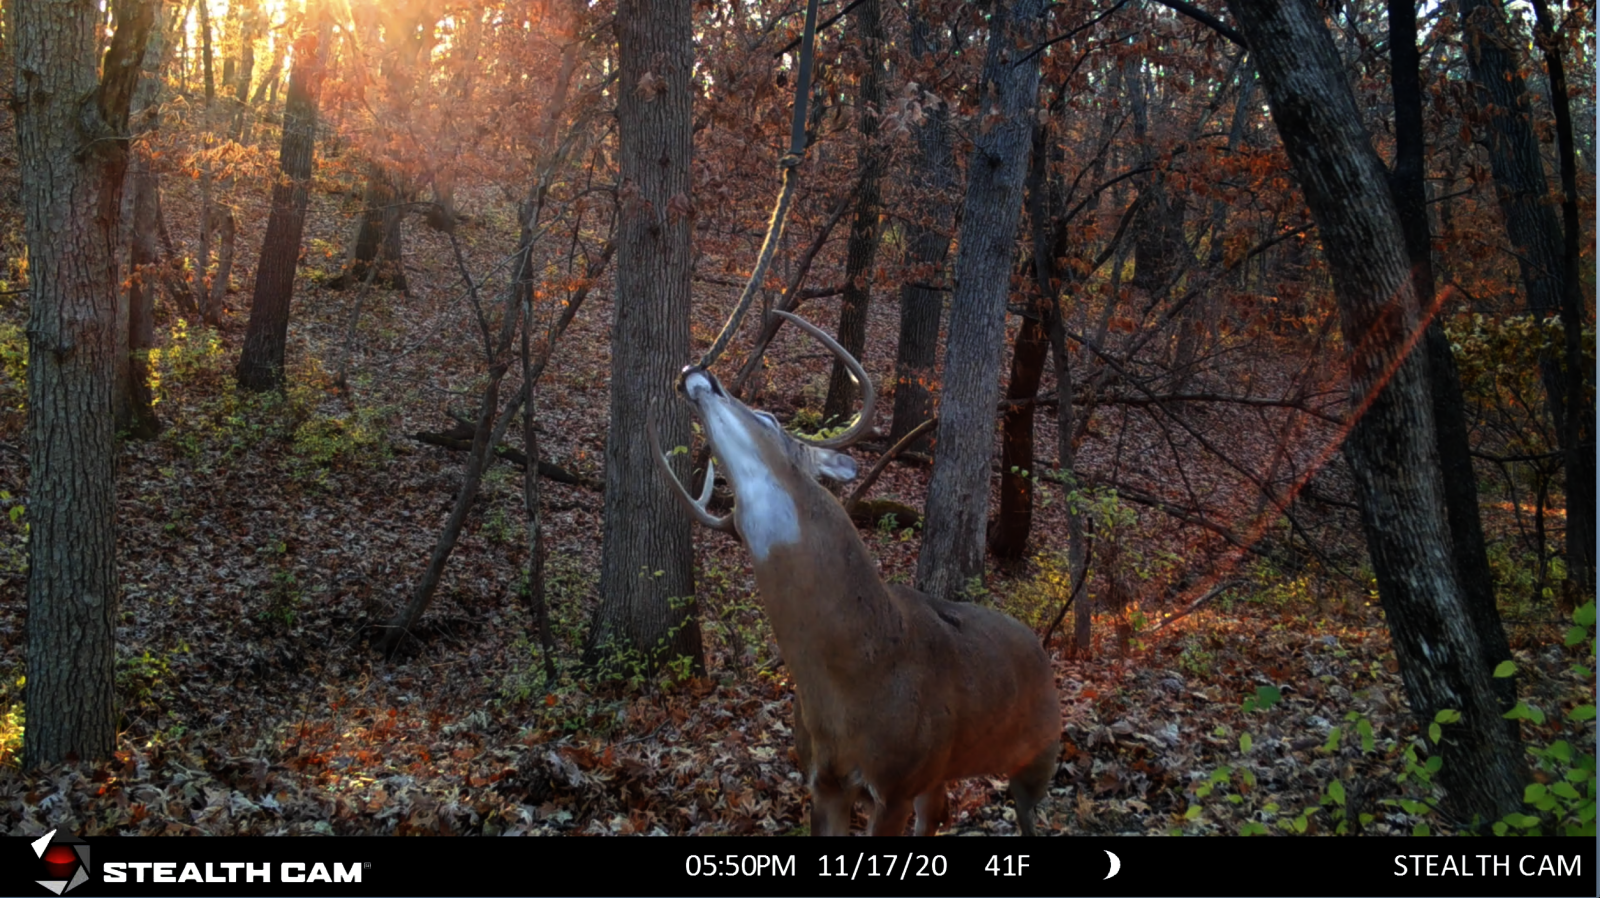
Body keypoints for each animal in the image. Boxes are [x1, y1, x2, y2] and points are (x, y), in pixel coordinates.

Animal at [648, 310, 1061, 836]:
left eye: (769, 418)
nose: (695, 373)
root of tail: (1042, 648)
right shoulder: (822, 780)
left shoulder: (896, 784)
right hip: (942, 774)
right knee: (938, 811)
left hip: (1039, 758)